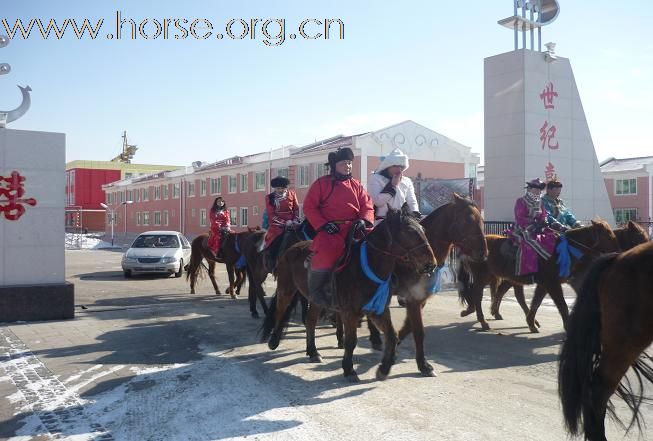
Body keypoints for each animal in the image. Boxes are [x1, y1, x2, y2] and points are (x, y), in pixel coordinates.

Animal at [258, 208, 436, 380]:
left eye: (423, 230)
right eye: (409, 231)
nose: (431, 264)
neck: (366, 268)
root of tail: (292, 248)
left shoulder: (378, 311)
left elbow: (392, 336)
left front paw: (384, 369)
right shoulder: (350, 313)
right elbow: (351, 341)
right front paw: (349, 369)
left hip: (316, 300)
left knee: (310, 320)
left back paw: (313, 351)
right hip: (286, 289)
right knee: (280, 311)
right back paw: (274, 340)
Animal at [456, 220, 620, 330]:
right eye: (608, 235)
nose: (619, 252)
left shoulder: (544, 284)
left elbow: (536, 302)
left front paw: (531, 323)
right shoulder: (552, 284)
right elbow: (562, 306)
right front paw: (567, 326)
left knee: (507, 294)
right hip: (483, 277)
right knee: (477, 294)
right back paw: (482, 320)